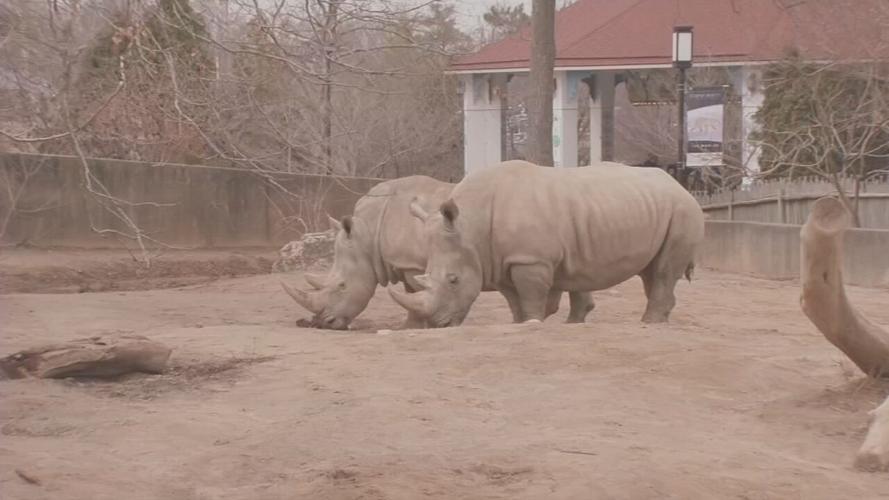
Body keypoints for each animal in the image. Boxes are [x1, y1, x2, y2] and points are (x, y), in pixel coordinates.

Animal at [282, 175, 594, 330]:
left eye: (342, 286)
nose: (324, 325)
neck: (369, 235)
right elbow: (413, 293)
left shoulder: (413, 264)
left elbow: (413, 292)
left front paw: (411, 326)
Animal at [389, 160, 705, 327]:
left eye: (453, 280)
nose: (438, 325)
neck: (471, 226)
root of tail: (680, 186)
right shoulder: (500, 260)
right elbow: (515, 301)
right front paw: (519, 324)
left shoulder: (530, 260)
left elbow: (531, 299)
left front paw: (532, 323)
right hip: (653, 206)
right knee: (650, 273)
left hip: (682, 210)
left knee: (662, 272)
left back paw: (649, 324)